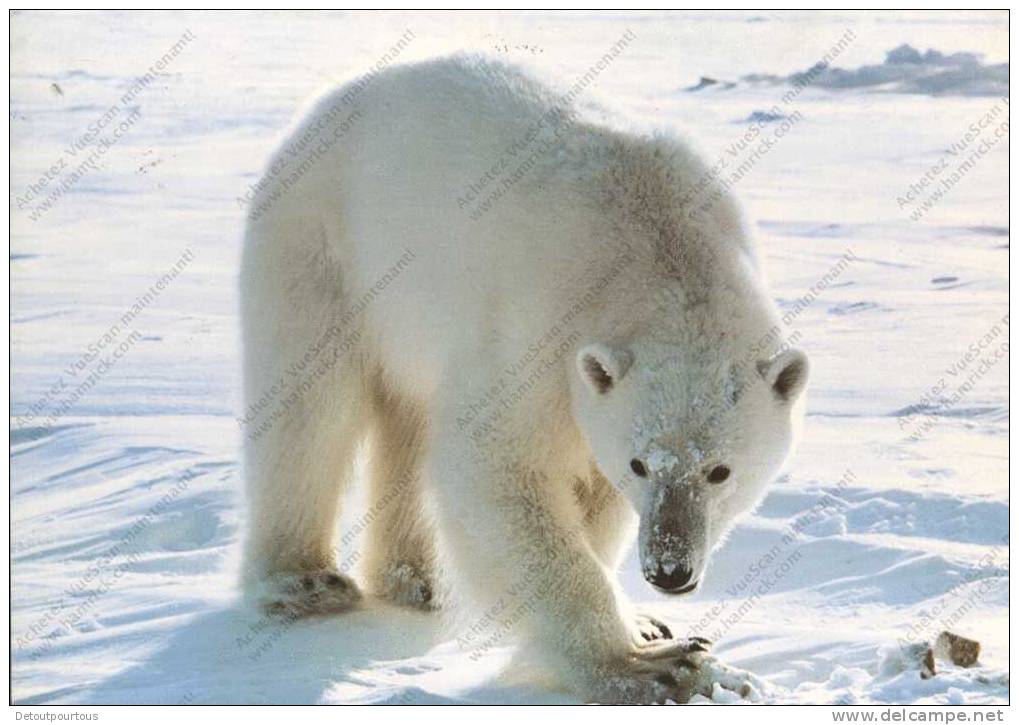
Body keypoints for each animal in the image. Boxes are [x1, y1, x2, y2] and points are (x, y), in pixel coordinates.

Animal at [236, 55, 802, 701]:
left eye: (720, 471)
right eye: (640, 464)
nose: (669, 571)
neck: (656, 242)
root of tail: (323, 108)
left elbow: (591, 494)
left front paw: (647, 625)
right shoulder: (536, 330)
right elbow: (494, 467)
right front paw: (652, 665)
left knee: (405, 421)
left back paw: (418, 581)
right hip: (322, 244)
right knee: (309, 408)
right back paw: (303, 583)